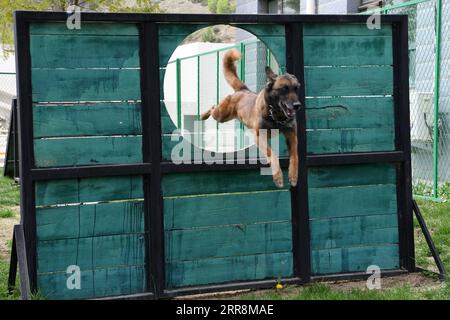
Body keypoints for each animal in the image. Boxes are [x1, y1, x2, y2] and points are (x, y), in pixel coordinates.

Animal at [201, 48, 300, 186]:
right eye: (284, 89)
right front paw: (278, 177)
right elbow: (272, 155)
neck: (276, 116)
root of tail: (243, 90)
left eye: (296, 89)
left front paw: (293, 175)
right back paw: (202, 116)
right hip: (221, 116)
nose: (297, 105)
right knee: (213, 107)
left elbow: (295, 156)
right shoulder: (259, 137)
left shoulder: (291, 135)